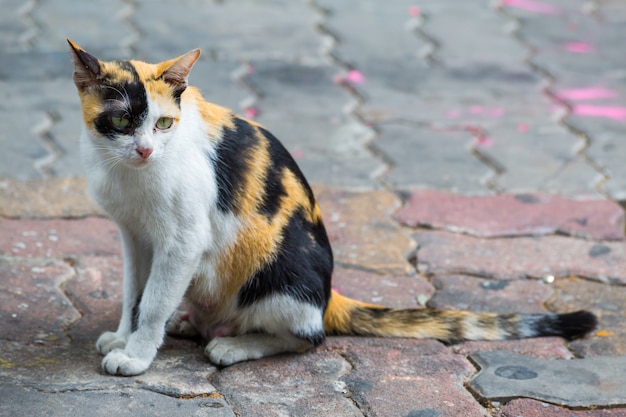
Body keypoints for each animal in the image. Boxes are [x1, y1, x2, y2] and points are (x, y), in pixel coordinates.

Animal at [67, 39, 596, 376]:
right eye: (122, 121)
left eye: (164, 124)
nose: (145, 150)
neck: (129, 174)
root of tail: (328, 296)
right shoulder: (134, 236)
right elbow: (134, 291)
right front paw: (125, 335)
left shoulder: (182, 240)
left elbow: (155, 299)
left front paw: (137, 355)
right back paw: (192, 323)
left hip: (279, 274)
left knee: (308, 336)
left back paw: (233, 344)